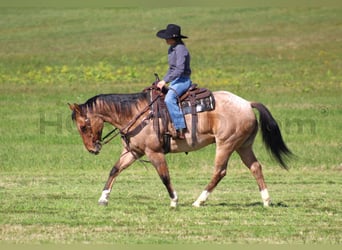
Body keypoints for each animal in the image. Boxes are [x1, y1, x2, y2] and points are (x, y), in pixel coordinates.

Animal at [69, 85, 292, 208]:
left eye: (83, 126)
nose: (92, 149)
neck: (136, 113)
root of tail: (246, 103)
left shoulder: (154, 152)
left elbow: (164, 176)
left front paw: (174, 200)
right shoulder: (133, 152)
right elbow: (114, 170)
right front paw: (103, 198)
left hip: (226, 145)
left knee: (219, 171)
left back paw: (199, 201)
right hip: (243, 146)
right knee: (256, 168)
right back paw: (266, 200)